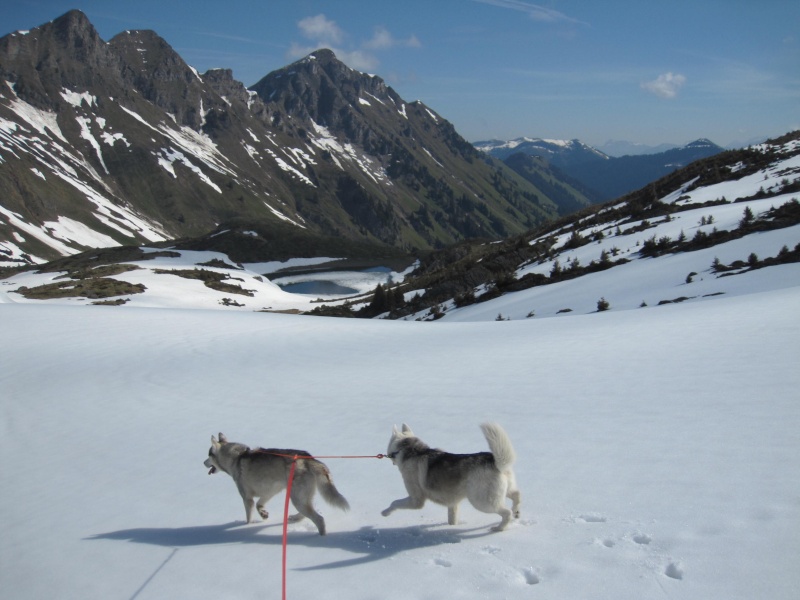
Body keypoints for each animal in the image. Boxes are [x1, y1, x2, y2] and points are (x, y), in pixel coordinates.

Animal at [205, 432, 348, 536]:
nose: (203, 462)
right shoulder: (270, 490)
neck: (236, 458)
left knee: (319, 519)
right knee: (307, 513)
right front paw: (263, 514)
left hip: (297, 498)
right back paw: (295, 518)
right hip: (300, 497)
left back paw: (320, 536)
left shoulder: (247, 498)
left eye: (209, 455)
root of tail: (309, 459)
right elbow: (259, 504)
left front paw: (248, 525)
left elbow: (249, 517)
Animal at [382, 422, 520, 528]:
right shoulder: (453, 503)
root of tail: (494, 461)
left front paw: (385, 512)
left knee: (506, 513)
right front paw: (451, 527)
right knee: (517, 495)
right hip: (502, 492)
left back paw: (499, 528)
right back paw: (516, 511)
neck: (411, 450)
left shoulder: (416, 500)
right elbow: (452, 518)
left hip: (482, 502)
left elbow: (394, 503)